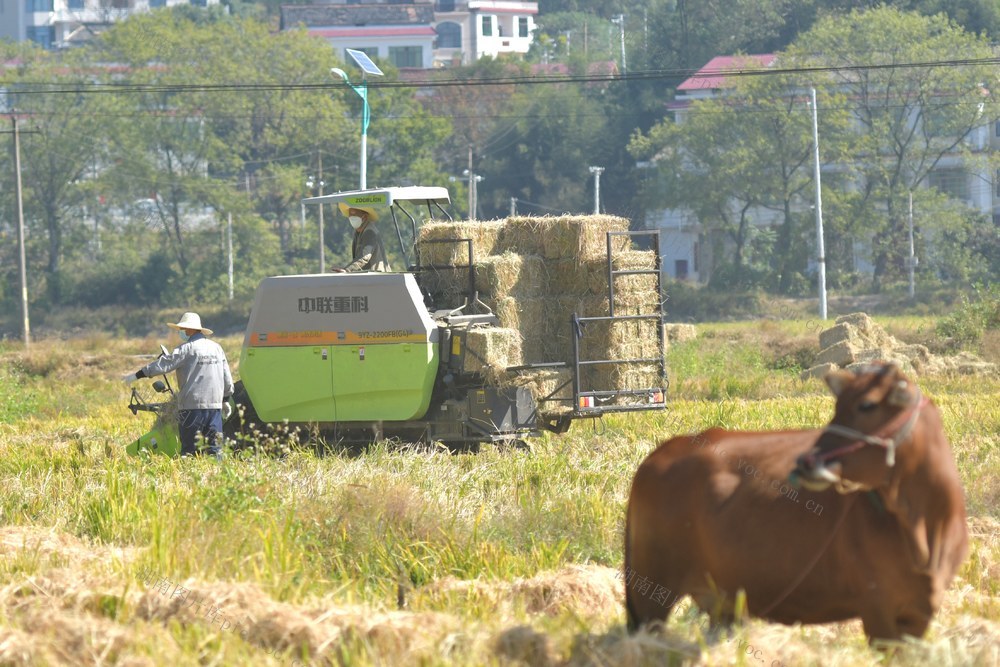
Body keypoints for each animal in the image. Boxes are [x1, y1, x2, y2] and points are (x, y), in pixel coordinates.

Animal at [624, 362, 968, 644]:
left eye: (867, 404)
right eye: (837, 406)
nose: (805, 462)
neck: (922, 524)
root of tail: (664, 451)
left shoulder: (918, 613)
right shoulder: (877, 610)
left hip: (723, 601)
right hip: (651, 591)